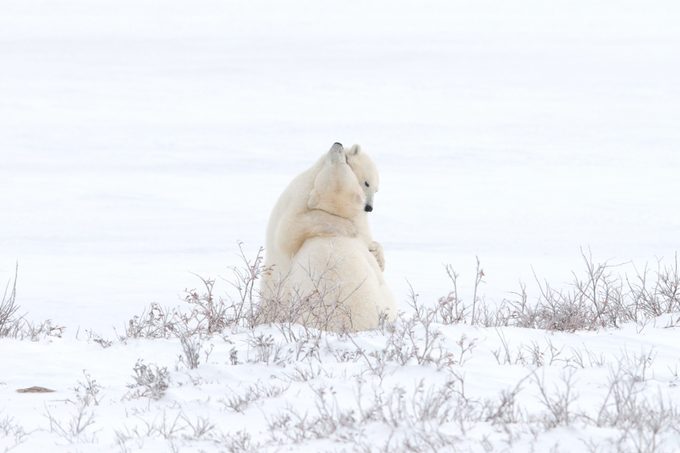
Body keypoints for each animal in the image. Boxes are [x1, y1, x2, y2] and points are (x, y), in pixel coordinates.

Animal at [262, 142, 386, 308]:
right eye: (366, 183)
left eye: (376, 189)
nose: (369, 207)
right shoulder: (301, 197)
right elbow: (289, 231)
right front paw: (348, 228)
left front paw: (378, 255)